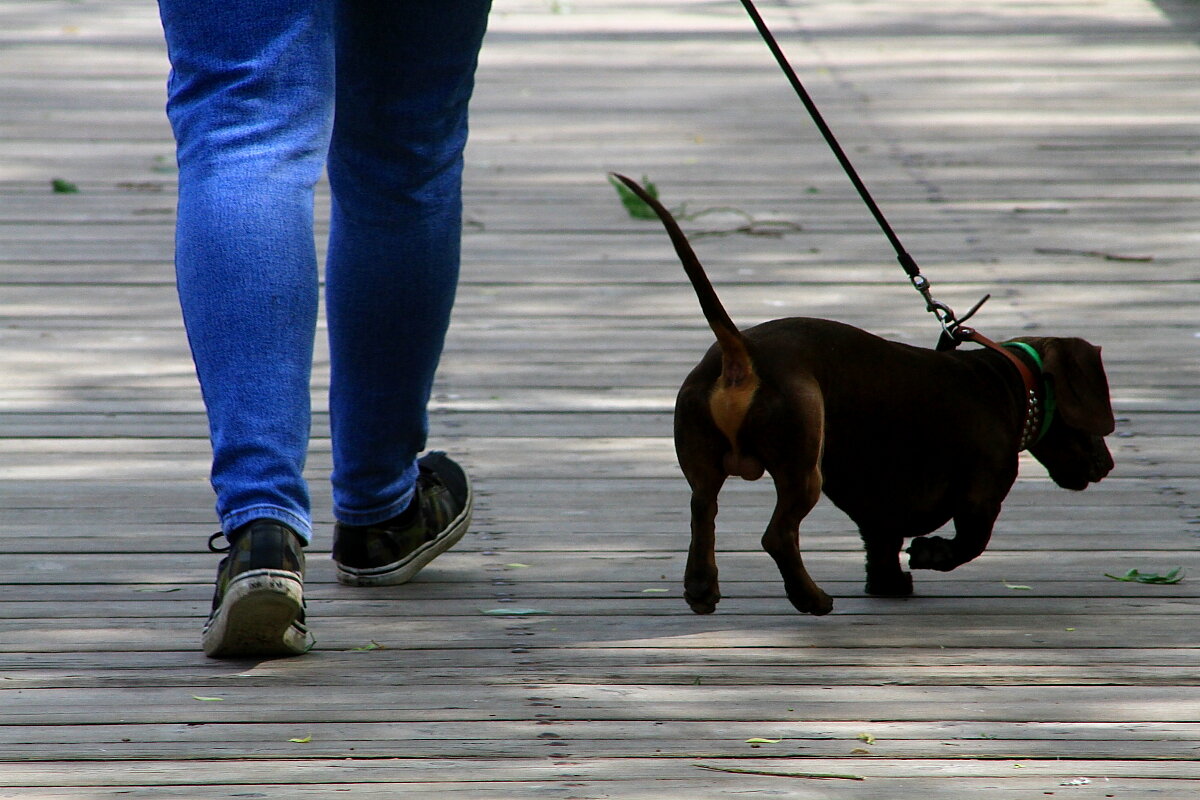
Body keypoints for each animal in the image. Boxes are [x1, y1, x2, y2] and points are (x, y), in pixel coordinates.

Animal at [614, 173, 1108, 614]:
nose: (1107, 466)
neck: (1006, 384)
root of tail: (742, 354)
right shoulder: (981, 495)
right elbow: (971, 542)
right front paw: (931, 555)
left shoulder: (877, 509)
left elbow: (881, 542)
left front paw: (888, 583)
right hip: (803, 467)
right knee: (778, 535)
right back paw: (811, 599)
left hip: (703, 464)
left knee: (703, 512)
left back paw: (702, 589)